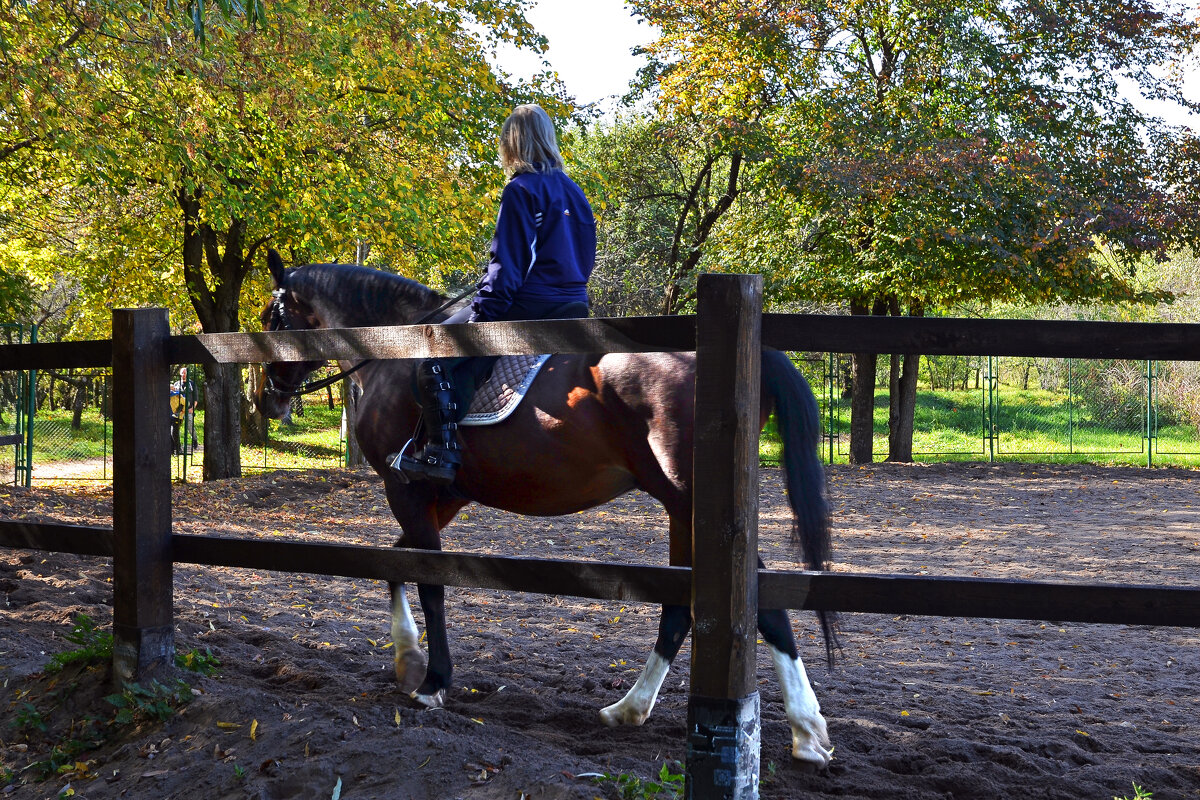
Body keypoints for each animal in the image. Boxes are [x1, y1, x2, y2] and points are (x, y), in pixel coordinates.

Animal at [253, 250, 835, 762]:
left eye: (272, 315)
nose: (269, 400)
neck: (396, 351)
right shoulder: (443, 496)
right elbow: (395, 565)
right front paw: (407, 660)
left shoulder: (407, 489)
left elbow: (429, 580)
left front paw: (432, 681)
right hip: (680, 509)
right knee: (681, 607)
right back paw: (629, 709)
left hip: (693, 503)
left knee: (761, 604)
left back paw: (805, 731)